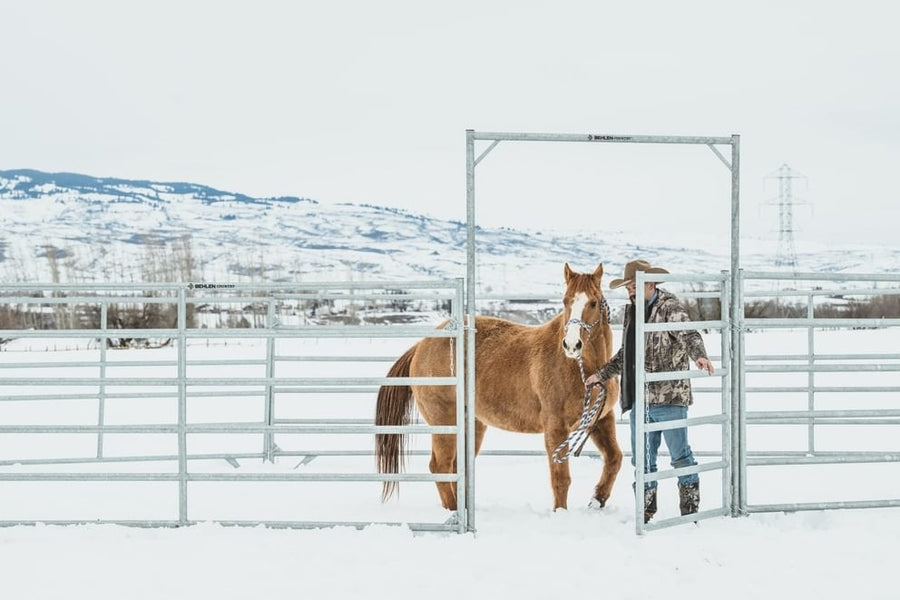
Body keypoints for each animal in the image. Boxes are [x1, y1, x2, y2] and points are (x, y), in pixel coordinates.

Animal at [375, 263, 622, 511]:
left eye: (593, 302)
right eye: (565, 301)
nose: (572, 345)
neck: (583, 369)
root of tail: (421, 345)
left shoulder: (600, 419)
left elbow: (614, 458)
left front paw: (597, 499)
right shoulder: (556, 426)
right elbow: (560, 477)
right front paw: (560, 512)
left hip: (471, 424)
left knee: (455, 467)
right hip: (444, 421)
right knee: (441, 466)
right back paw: (454, 511)